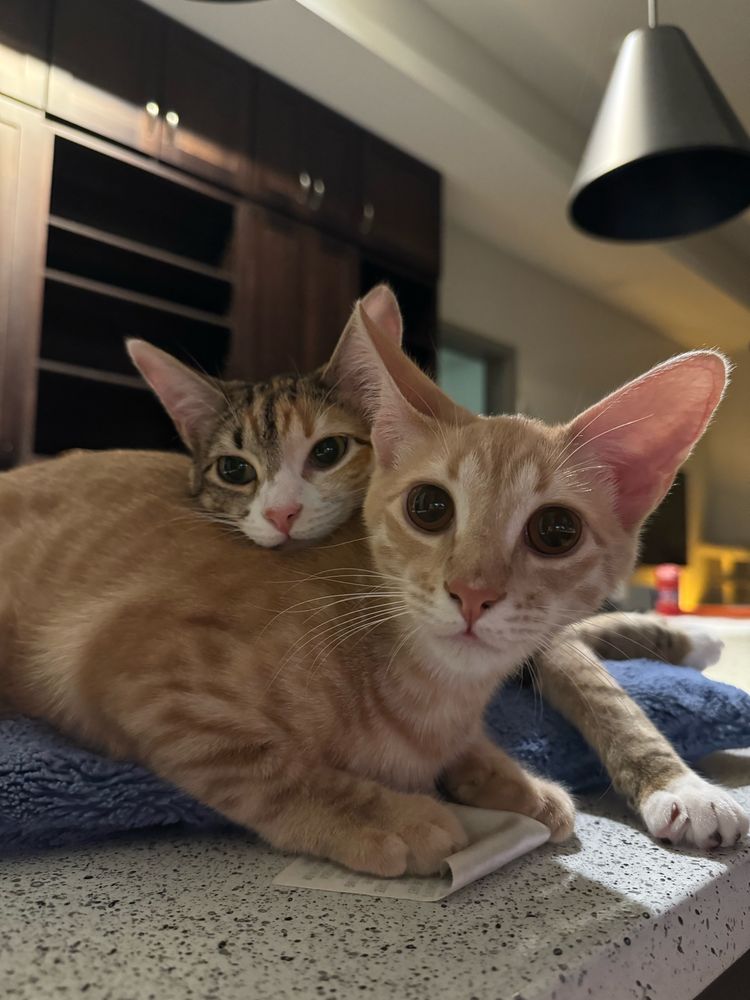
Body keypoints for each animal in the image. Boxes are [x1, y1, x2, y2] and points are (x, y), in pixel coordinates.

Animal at [0, 291, 745, 875]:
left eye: (556, 531)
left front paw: (510, 779)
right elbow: (260, 765)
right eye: (429, 507)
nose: (472, 593)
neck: (435, 689)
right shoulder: (128, 662)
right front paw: (383, 816)